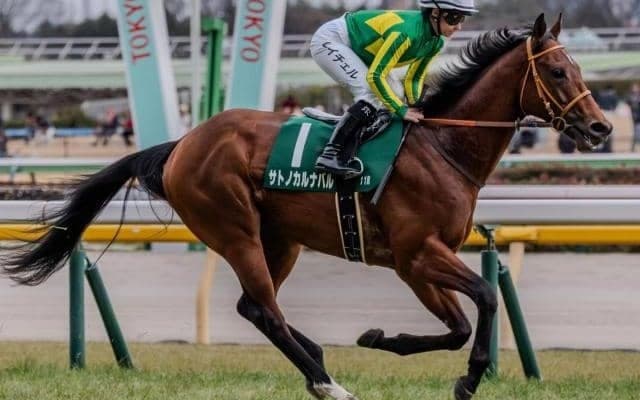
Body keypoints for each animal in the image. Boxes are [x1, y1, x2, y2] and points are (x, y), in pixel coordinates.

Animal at [2, 14, 611, 400]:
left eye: (581, 70)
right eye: (558, 72)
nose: (600, 128)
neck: (444, 147)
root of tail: (181, 145)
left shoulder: (415, 264)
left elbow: (460, 324)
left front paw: (381, 339)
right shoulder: (418, 254)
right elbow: (484, 296)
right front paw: (466, 378)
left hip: (281, 239)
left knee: (253, 307)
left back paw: (317, 358)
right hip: (236, 230)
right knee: (265, 310)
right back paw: (328, 383)